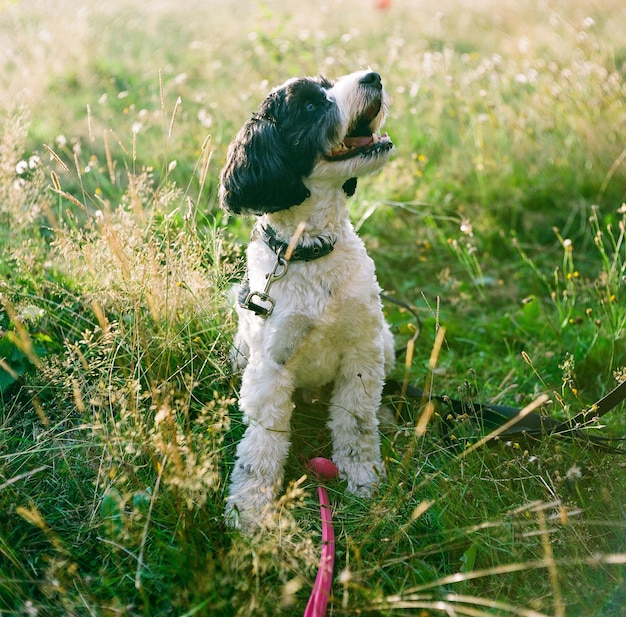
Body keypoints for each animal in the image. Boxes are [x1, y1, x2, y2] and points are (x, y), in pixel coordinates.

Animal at [219, 70, 394, 528]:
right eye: (311, 106)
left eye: (329, 85)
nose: (373, 76)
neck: (309, 251)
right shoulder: (270, 366)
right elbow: (262, 445)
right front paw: (250, 507)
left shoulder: (362, 352)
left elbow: (357, 424)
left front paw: (363, 477)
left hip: (385, 342)